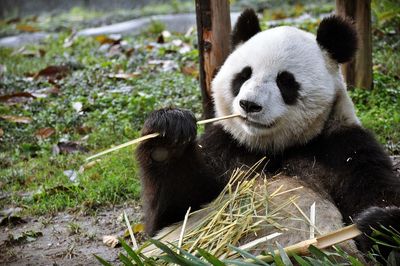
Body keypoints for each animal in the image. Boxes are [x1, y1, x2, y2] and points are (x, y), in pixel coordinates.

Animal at [135, 8, 400, 258]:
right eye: (243, 75)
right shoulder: (227, 147)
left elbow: (376, 193)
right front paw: (168, 135)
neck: (273, 147)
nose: (249, 105)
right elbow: (174, 214)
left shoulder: (342, 149)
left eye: (285, 81)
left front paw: (378, 225)